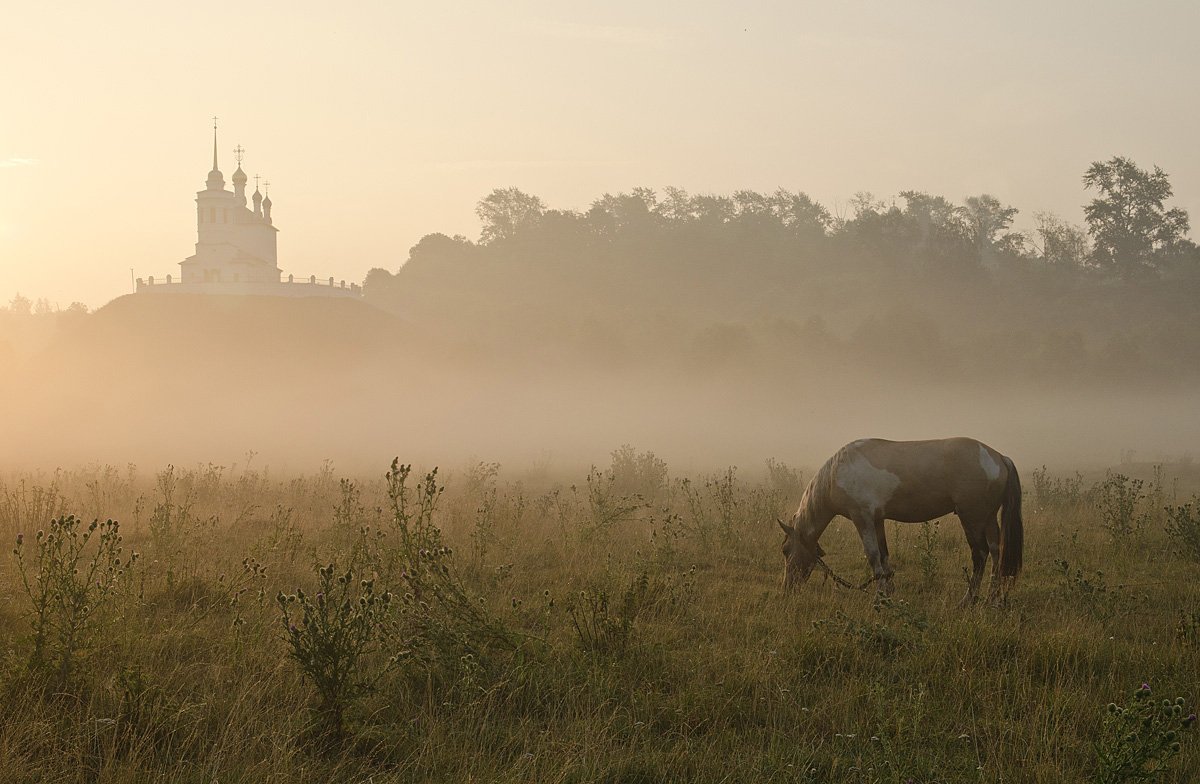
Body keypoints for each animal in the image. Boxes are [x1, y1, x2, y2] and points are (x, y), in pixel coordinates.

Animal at [777, 437, 1022, 602]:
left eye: (786, 550)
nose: (787, 588)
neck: (837, 473)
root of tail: (999, 457)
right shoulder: (877, 520)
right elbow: (884, 556)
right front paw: (888, 593)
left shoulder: (862, 518)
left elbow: (873, 556)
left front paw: (878, 598)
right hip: (988, 518)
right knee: (996, 551)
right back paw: (992, 598)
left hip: (972, 518)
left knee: (980, 555)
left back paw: (967, 600)